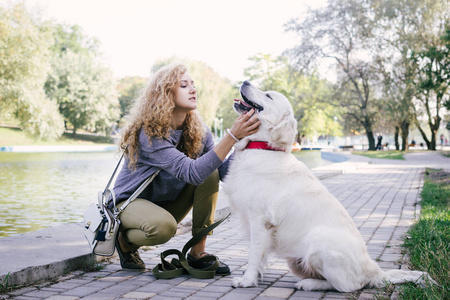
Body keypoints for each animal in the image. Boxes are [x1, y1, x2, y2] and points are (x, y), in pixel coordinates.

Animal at [223, 81, 434, 292]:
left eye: (268, 96)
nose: (245, 82)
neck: (264, 147)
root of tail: (374, 270)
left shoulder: (260, 219)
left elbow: (253, 254)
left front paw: (246, 280)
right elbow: (259, 257)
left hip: (319, 242)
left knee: (347, 285)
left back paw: (309, 284)